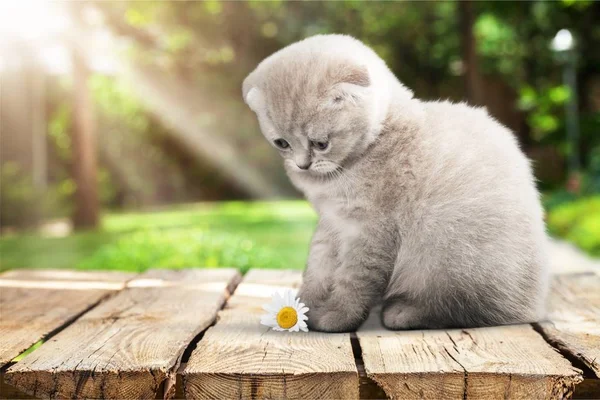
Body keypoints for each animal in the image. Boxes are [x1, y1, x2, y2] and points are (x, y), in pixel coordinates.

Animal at [243, 34, 548, 332]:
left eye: (321, 143)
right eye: (282, 143)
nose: (302, 164)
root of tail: (534, 303)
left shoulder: (371, 229)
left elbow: (353, 280)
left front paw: (335, 318)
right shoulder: (331, 222)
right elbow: (316, 268)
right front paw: (301, 308)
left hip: (447, 258)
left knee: (470, 308)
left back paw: (401, 313)